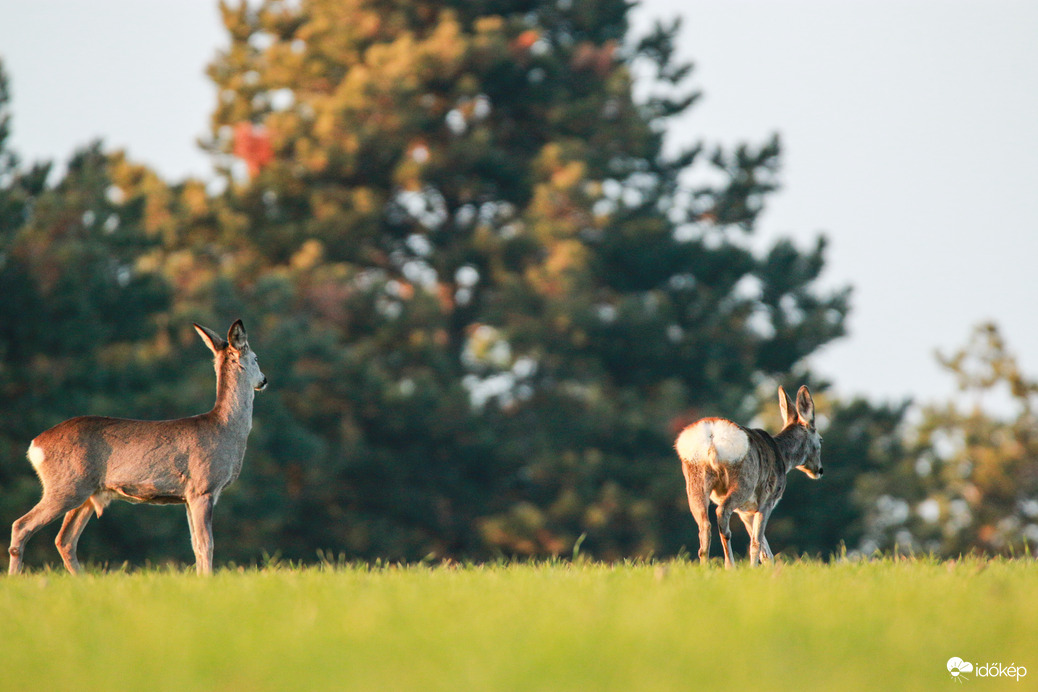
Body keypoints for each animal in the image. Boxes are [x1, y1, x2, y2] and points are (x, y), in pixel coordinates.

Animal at [7, 321, 267, 576]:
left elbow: (195, 544)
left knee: (65, 540)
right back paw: (15, 576)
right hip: (66, 484)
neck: (226, 429)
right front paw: (207, 580)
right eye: (255, 358)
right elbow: (206, 544)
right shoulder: (203, 487)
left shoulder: (188, 495)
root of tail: (35, 446)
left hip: (86, 493)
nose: (264, 380)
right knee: (22, 525)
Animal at [676, 383, 822, 568]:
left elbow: (765, 549)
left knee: (704, 526)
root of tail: (712, 437)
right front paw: (754, 568)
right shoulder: (767, 500)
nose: (819, 470)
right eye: (821, 440)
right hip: (744, 481)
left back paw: (705, 566)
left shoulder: (745, 511)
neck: (782, 455)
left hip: (695, 479)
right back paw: (729, 566)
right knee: (721, 512)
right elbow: (757, 542)